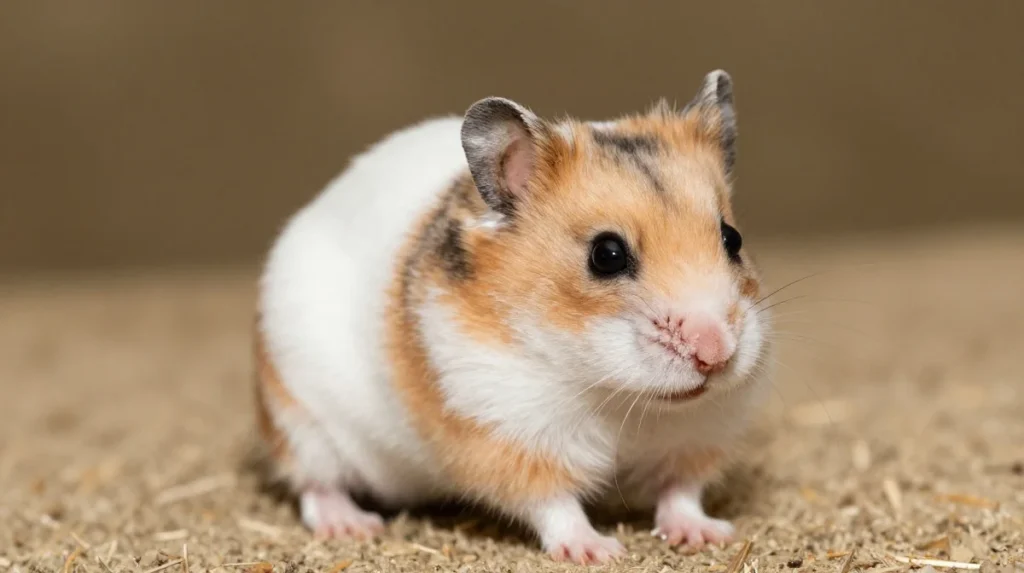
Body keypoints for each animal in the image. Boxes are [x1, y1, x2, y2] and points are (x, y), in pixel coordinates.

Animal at [253, 69, 773, 565]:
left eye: (732, 238)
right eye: (606, 255)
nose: (715, 354)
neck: (616, 394)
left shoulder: (698, 434)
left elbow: (681, 492)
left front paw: (708, 535)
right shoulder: (508, 430)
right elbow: (555, 505)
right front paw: (598, 551)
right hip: (301, 421)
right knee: (316, 486)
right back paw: (352, 525)